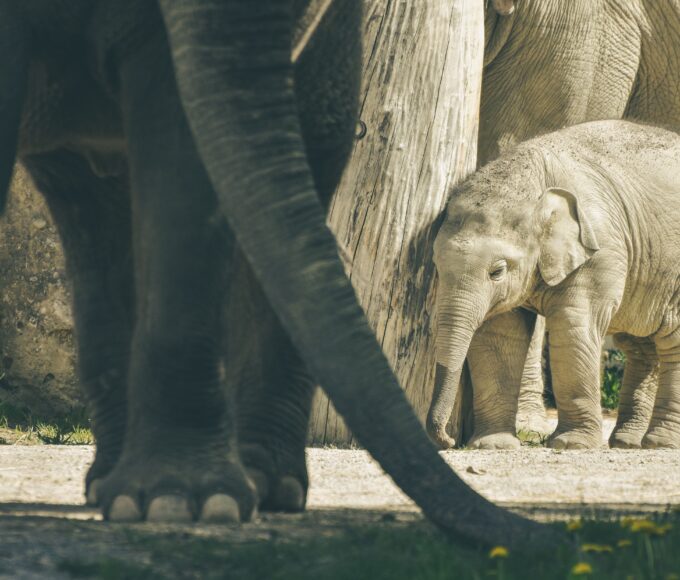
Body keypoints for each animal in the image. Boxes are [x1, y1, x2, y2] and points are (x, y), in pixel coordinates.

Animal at [434, 0, 680, 449]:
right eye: (436, 271)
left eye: (497, 271)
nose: (443, 439)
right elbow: (498, 333)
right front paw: (494, 445)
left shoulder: (602, 250)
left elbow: (574, 326)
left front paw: (571, 445)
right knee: (642, 341)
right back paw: (628, 442)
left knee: (671, 340)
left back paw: (658, 444)